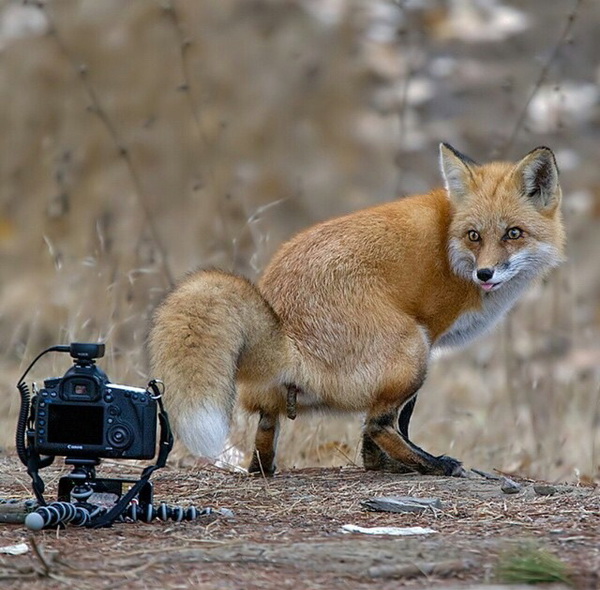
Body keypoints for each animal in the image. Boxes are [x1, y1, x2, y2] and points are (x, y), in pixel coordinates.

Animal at [149, 146, 564, 478]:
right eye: (474, 236)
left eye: (513, 233)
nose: (485, 273)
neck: (450, 246)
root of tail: (288, 335)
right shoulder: (430, 333)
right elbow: (399, 421)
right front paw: (392, 462)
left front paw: (378, 464)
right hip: (412, 349)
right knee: (378, 423)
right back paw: (434, 465)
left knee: (268, 431)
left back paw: (265, 468)